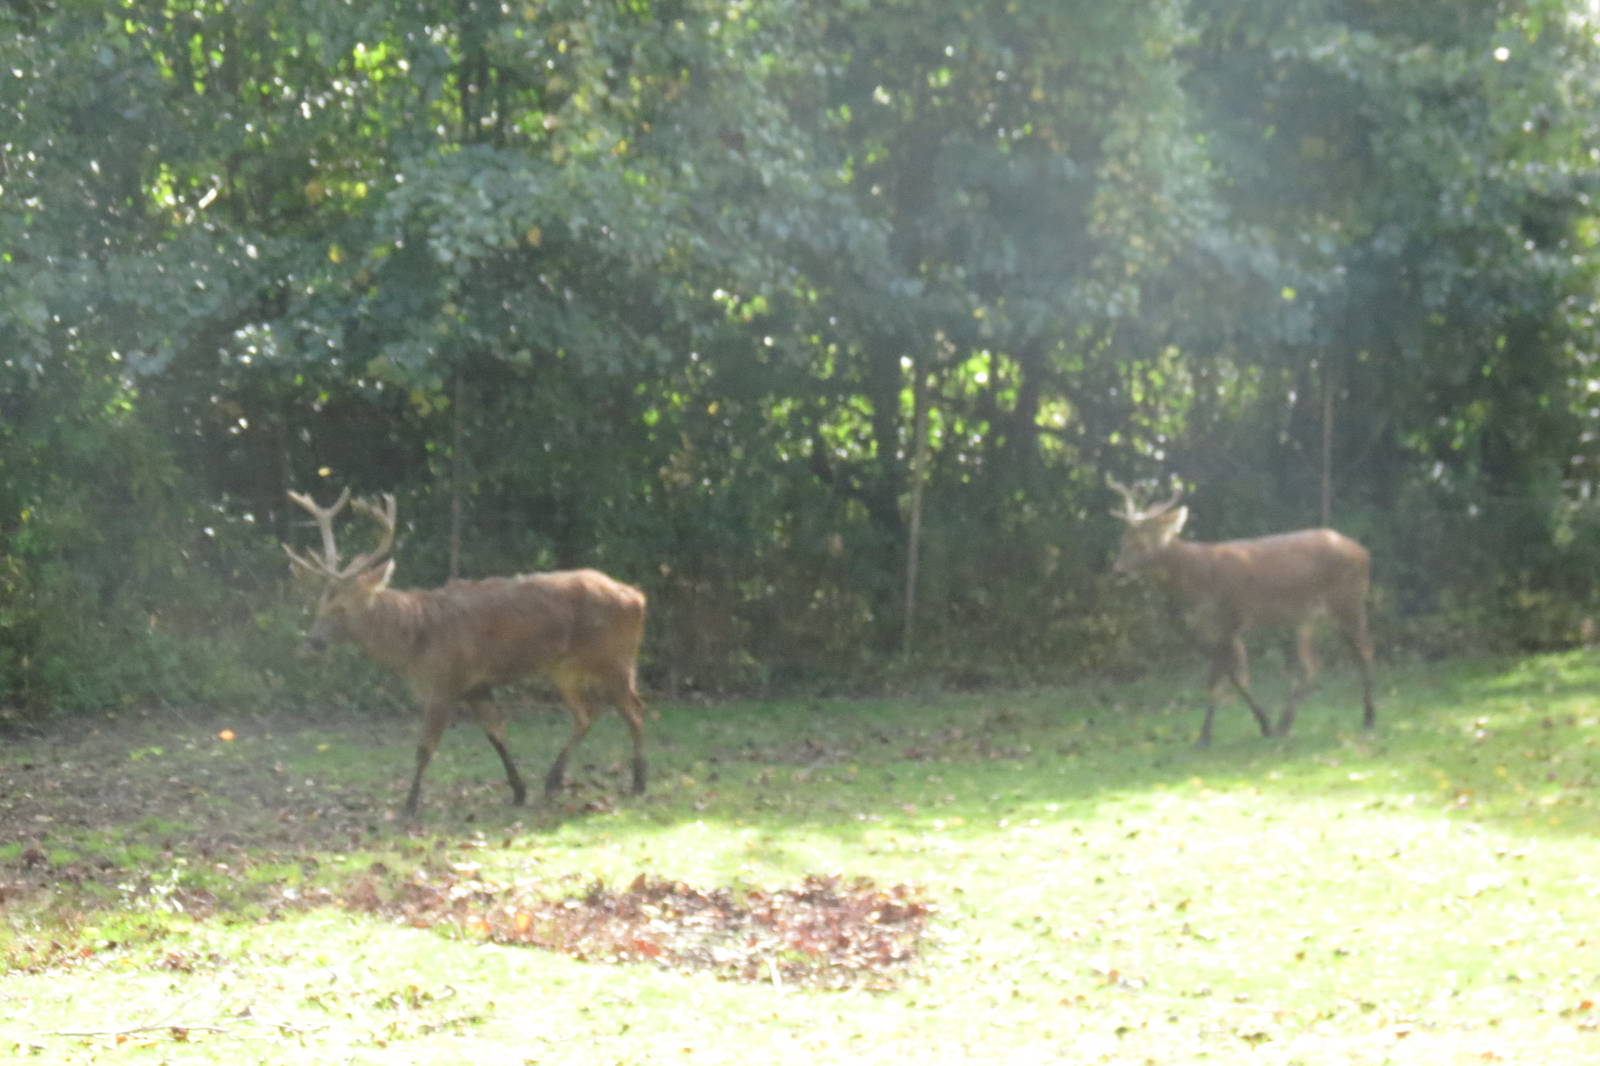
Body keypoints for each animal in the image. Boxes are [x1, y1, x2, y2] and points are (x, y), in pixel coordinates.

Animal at [282, 488, 648, 818]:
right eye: (320, 604)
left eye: (341, 608)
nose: (311, 643)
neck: (415, 642)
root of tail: (638, 597)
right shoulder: (476, 685)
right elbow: (497, 735)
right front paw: (519, 791)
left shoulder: (445, 680)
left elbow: (425, 747)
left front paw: (409, 806)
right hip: (564, 669)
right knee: (587, 714)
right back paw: (553, 781)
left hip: (615, 658)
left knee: (634, 711)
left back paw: (638, 783)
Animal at [1107, 477, 1375, 748]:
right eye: (1122, 541)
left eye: (1142, 544)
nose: (1118, 571)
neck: (1195, 579)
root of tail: (1363, 552)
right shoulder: (1204, 631)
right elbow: (1237, 677)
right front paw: (1264, 725)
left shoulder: (1230, 618)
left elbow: (1220, 680)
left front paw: (1205, 737)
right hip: (1306, 619)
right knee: (1311, 666)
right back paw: (1285, 725)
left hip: (1349, 602)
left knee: (1364, 653)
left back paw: (1369, 718)